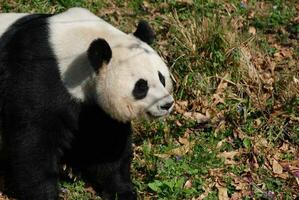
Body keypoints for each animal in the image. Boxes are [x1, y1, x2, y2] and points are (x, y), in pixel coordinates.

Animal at [0, 7, 175, 200]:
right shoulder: (38, 75)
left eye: (161, 78)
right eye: (141, 86)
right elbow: (34, 139)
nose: (167, 104)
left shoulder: (94, 107)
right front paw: (45, 194)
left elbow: (107, 142)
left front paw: (122, 191)